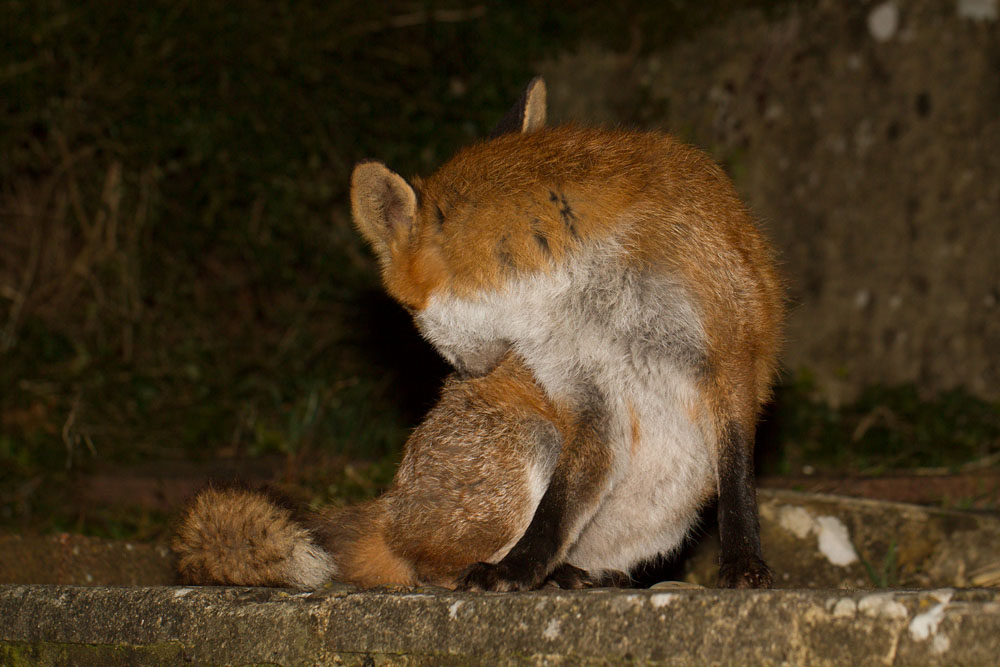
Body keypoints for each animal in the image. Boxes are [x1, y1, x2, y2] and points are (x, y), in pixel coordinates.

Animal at [349, 77, 783, 590]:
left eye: (408, 312)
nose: (465, 376)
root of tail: (388, 507)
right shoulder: (586, 391)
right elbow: (555, 513)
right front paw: (516, 569)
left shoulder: (726, 351)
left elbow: (738, 487)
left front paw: (743, 564)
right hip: (536, 437)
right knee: (426, 566)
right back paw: (552, 573)